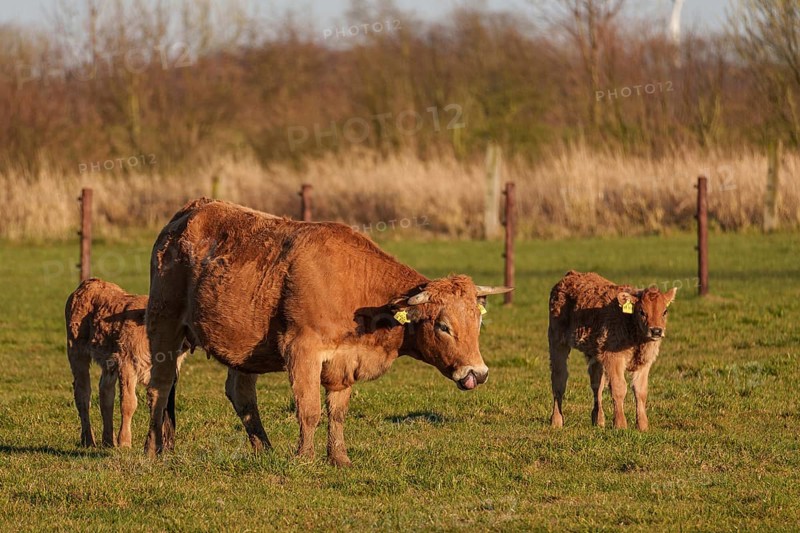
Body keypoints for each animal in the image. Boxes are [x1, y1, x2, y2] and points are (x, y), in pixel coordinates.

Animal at [65, 278, 187, 447]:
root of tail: (89, 283)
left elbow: (162, 404)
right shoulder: (127, 363)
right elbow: (128, 402)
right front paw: (124, 442)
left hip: (108, 361)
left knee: (105, 393)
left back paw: (108, 441)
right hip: (76, 351)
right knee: (83, 394)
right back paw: (89, 440)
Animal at [143, 198, 511, 465]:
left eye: (477, 323)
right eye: (444, 326)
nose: (478, 373)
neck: (355, 285)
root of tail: (190, 211)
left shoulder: (344, 362)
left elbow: (337, 413)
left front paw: (338, 457)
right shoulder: (302, 350)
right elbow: (309, 410)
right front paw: (304, 458)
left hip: (239, 348)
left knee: (240, 394)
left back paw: (263, 449)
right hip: (164, 325)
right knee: (159, 388)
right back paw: (152, 449)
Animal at [548, 270, 676, 431]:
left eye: (665, 311)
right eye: (642, 311)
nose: (656, 331)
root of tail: (570, 275)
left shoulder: (644, 363)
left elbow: (640, 391)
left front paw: (643, 426)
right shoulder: (614, 359)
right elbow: (619, 388)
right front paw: (620, 424)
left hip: (594, 354)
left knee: (596, 384)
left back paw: (598, 420)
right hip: (557, 343)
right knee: (559, 379)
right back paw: (556, 421)